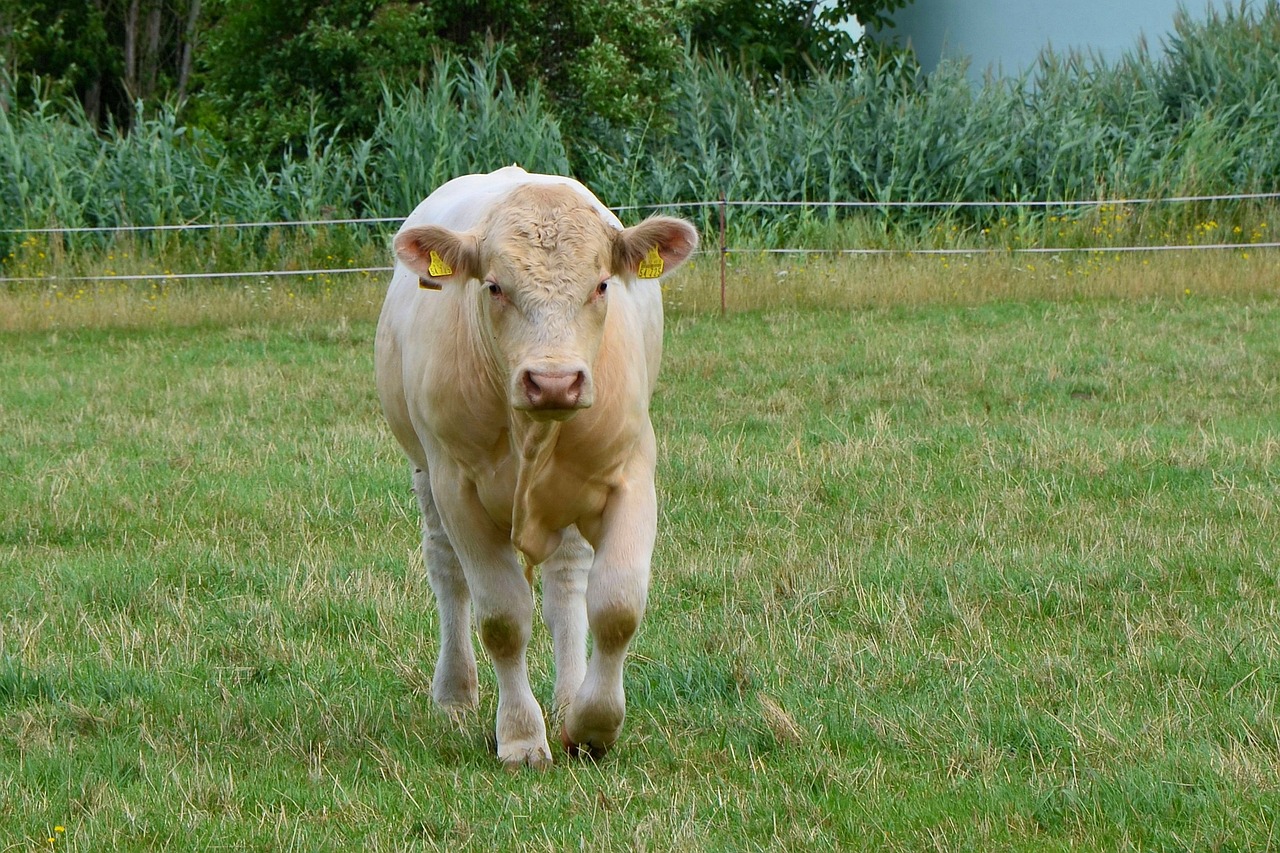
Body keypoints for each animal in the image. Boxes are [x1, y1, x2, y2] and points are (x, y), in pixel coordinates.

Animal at [376, 163, 701, 763]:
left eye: (601, 284)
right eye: (494, 286)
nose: (554, 381)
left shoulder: (631, 475)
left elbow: (617, 606)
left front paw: (592, 724)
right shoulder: (457, 488)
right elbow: (503, 617)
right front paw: (522, 737)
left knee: (566, 584)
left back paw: (569, 693)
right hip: (425, 474)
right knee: (446, 571)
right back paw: (454, 695)